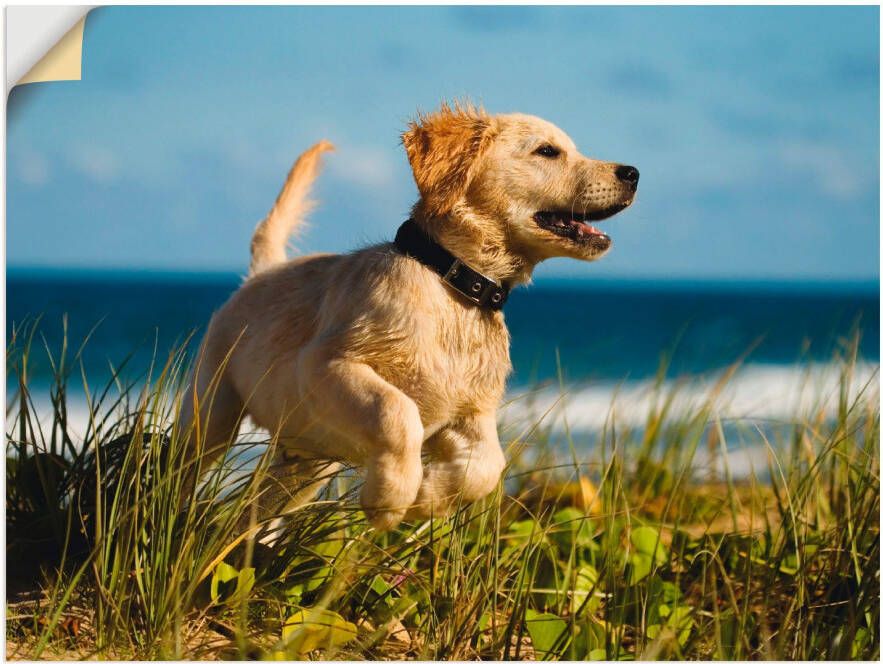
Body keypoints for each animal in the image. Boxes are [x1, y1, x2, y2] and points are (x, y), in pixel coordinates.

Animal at [180, 102, 640, 528]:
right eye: (548, 151)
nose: (633, 173)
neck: (454, 285)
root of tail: (263, 272)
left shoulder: (472, 412)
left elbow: (488, 465)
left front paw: (428, 498)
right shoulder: (325, 364)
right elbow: (397, 412)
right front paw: (390, 499)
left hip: (307, 465)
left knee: (248, 515)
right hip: (211, 412)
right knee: (181, 467)